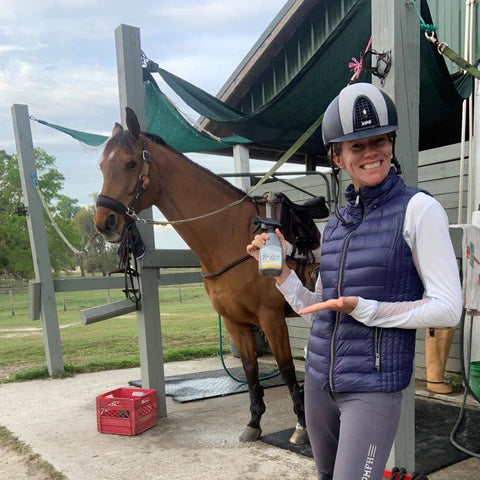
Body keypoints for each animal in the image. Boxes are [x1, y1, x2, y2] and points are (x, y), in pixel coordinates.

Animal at [93, 107, 322, 444]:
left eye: (130, 163)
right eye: (102, 166)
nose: (104, 222)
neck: (233, 236)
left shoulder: (271, 318)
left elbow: (287, 370)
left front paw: (302, 428)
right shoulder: (235, 322)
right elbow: (251, 371)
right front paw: (254, 423)